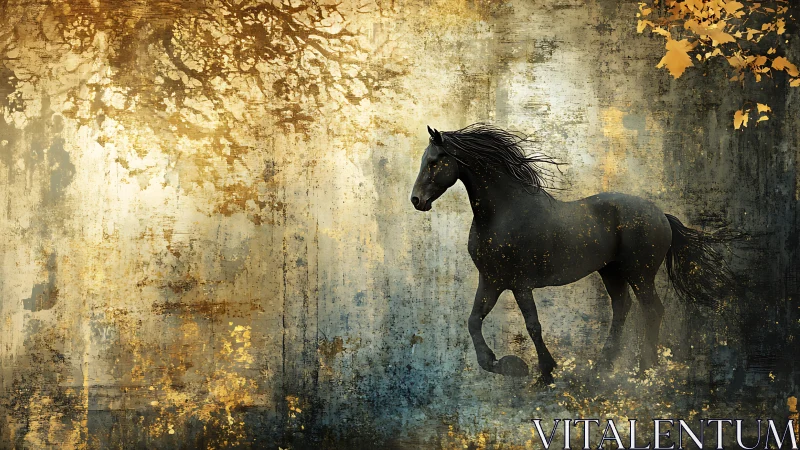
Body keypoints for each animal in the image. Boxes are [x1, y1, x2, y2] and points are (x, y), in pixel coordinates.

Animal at [410, 123, 736, 385]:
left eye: (435, 161)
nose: (416, 200)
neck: (502, 214)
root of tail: (661, 215)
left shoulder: (519, 283)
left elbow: (533, 325)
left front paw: (544, 372)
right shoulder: (491, 281)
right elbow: (473, 321)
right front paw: (505, 364)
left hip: (640, 274)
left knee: (652, 310)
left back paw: (645, 370)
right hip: (610, 272)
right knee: (622, 309)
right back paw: (602, 367)